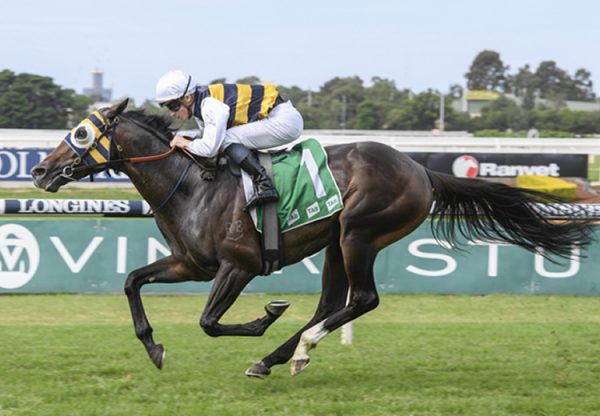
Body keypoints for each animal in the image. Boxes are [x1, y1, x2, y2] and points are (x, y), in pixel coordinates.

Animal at [31, 100, 596, 376]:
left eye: (80, 134)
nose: (38, 170)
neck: (191, 184)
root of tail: (420, 168)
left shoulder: (239, 265)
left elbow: (210, 322)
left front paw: (265, 316)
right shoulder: (190, 264)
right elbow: (131, 281)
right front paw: (153, 348)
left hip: (358, 233)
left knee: (361, 299)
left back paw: (294, 350)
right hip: (334, 244)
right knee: (330, 303)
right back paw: (275, 359)